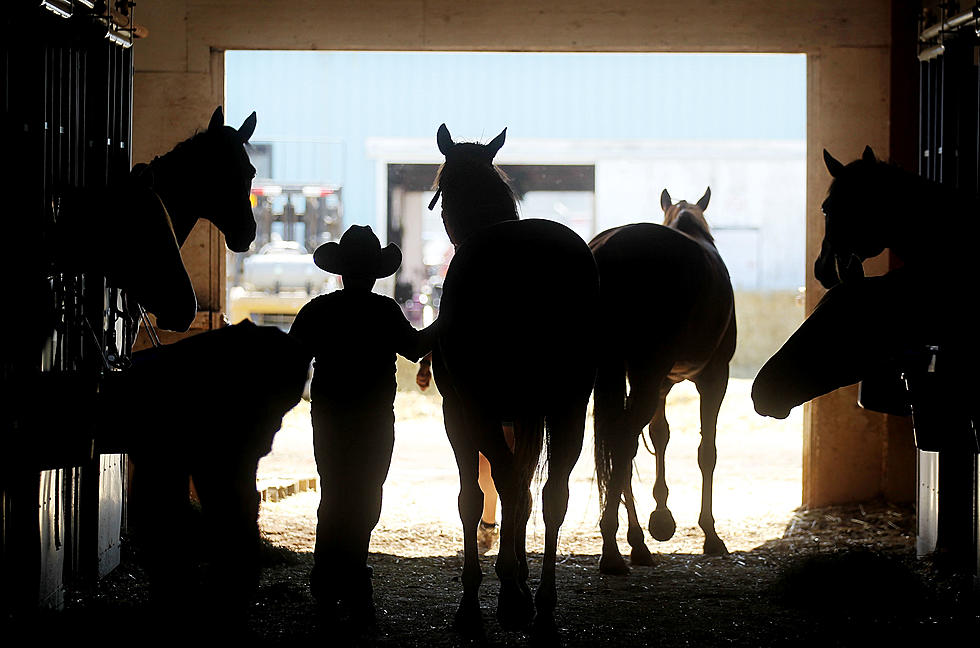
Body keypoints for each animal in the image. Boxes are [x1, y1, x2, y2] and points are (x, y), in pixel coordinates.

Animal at [432, 123, 600, 632]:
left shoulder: (460, 412)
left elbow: (475, 497)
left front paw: (478, 598)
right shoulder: (527, 415)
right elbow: (523, 492)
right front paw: (520, 577)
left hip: (484, 410)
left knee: (507, 485)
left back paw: (511, 597)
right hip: (568, 408)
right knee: (552, 495)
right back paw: (542, 604)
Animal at [588, 186, 736, 572]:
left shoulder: (662, 383)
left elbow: (660, 436)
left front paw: (661, 516)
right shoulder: (715, 375)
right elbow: (707, 451)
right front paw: (710, 534)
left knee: (619, 441)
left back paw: (632, 544)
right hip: (648, 369)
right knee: (624, 439)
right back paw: (615, 548)